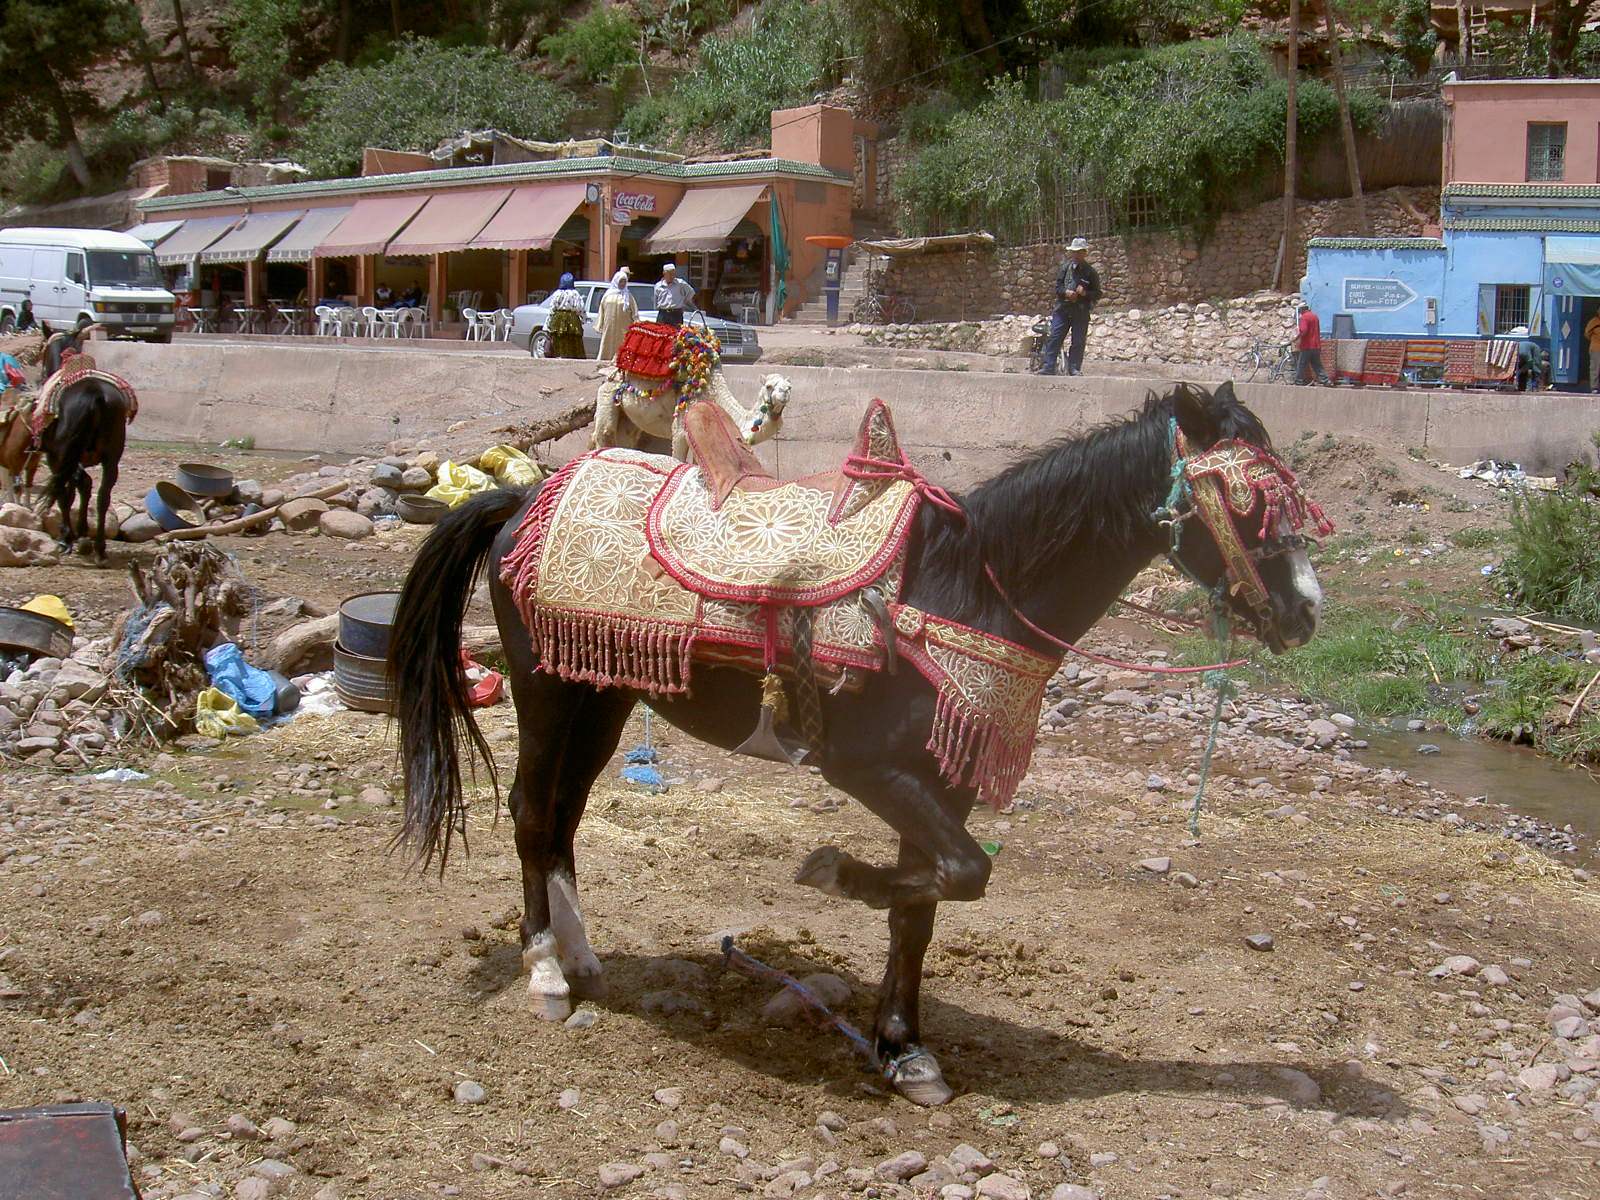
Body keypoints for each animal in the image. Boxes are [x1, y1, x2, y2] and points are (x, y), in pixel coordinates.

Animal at [387, 385, 1324, 1107]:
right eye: (1250, 503)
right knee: (530, 812)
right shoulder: (868, 767)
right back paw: (546, 970)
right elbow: (963, 873)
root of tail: (523, 501)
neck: (961, 588)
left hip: (603, 693)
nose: (1306, 612)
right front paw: (833, 873)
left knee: (565, 817)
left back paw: (582, 955)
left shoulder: (944, 784)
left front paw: (905, 1048)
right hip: (548, 694)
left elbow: (929, 902)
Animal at [595, 366, 793, 460]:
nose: (784, 392)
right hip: (607, 395)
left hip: (628, 419)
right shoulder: (680, 430)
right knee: (604, 433)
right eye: (769, 386)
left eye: (790, 386)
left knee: (626, 439)